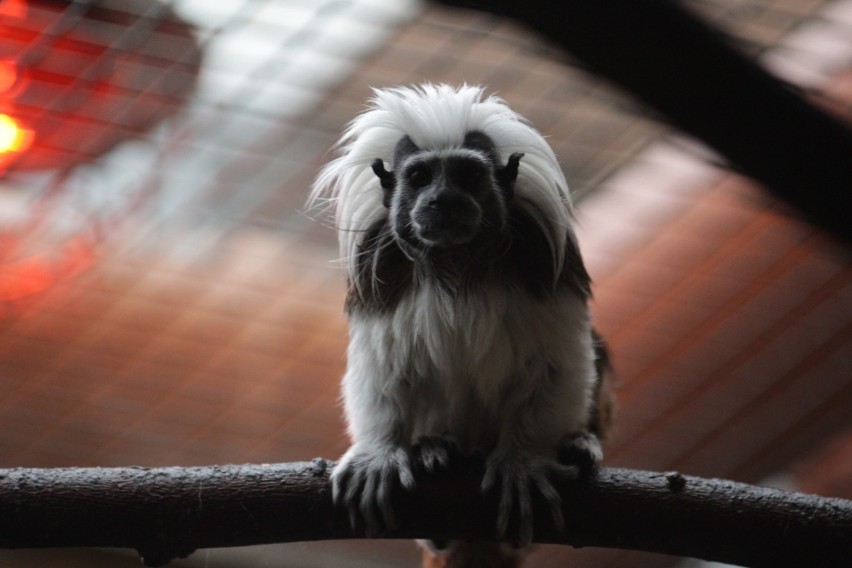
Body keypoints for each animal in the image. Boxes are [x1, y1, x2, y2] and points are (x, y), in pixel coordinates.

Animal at [312, 84, 612, 568]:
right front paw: (380, 453)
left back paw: (580, 444)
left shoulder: (546, 262)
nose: (442, 200)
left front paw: (523, 461)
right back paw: (436, 452)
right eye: (420, 177)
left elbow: (559, 364)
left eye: (468, 176)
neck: (457, 263)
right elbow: (381, 371)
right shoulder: (381, 273)